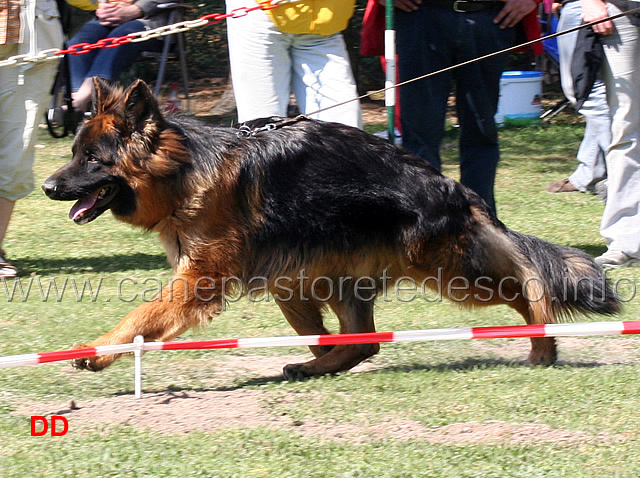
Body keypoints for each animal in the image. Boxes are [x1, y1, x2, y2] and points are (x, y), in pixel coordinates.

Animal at [41, 78, 620, 378]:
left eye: (92, 158)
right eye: (74, 152)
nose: (47, 186)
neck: (183, 168)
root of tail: (450, 186)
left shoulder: (196, 282)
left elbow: (139, 318)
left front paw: (96, 352)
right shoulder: (273, 278)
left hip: (449, 272)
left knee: (528, 287)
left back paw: (542, 345)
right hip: (322, 278)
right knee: (364, 342)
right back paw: (322, 364)